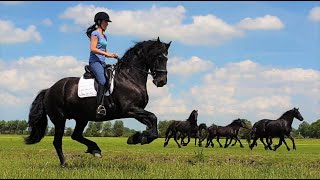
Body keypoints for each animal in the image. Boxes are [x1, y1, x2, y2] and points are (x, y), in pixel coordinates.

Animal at [24, 37, 171, 167]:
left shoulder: (137, 111)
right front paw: (139, 138)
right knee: (57, 142)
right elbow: (153, 118)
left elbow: (152, 123)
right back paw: (64, 163)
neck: (129, 77)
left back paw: (95, 149)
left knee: (76, 135)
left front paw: (139, 138)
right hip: (60, 119)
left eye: (167, 59)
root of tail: (49, 89)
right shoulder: (130, 109)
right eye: (158, 57)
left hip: (81, 118)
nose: (161, 81)